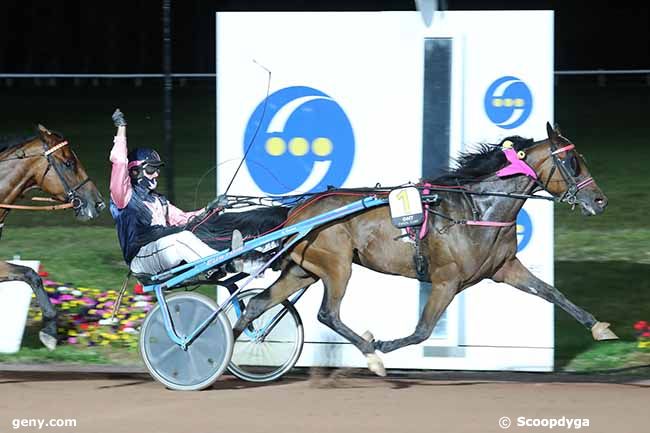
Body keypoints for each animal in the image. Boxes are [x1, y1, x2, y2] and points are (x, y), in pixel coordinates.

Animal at [230, 122, 616, 374]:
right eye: (572, 162)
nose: (600, 200)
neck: (478, 209)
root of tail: (296, 211)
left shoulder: (504, 268)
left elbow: (551, 292)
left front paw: (599, 327)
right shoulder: (447, 280)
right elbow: (422, 330)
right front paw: (382, 346)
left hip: (303, 270)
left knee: (257, 304)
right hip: (338, 266)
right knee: (328, 314)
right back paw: (371, 355)